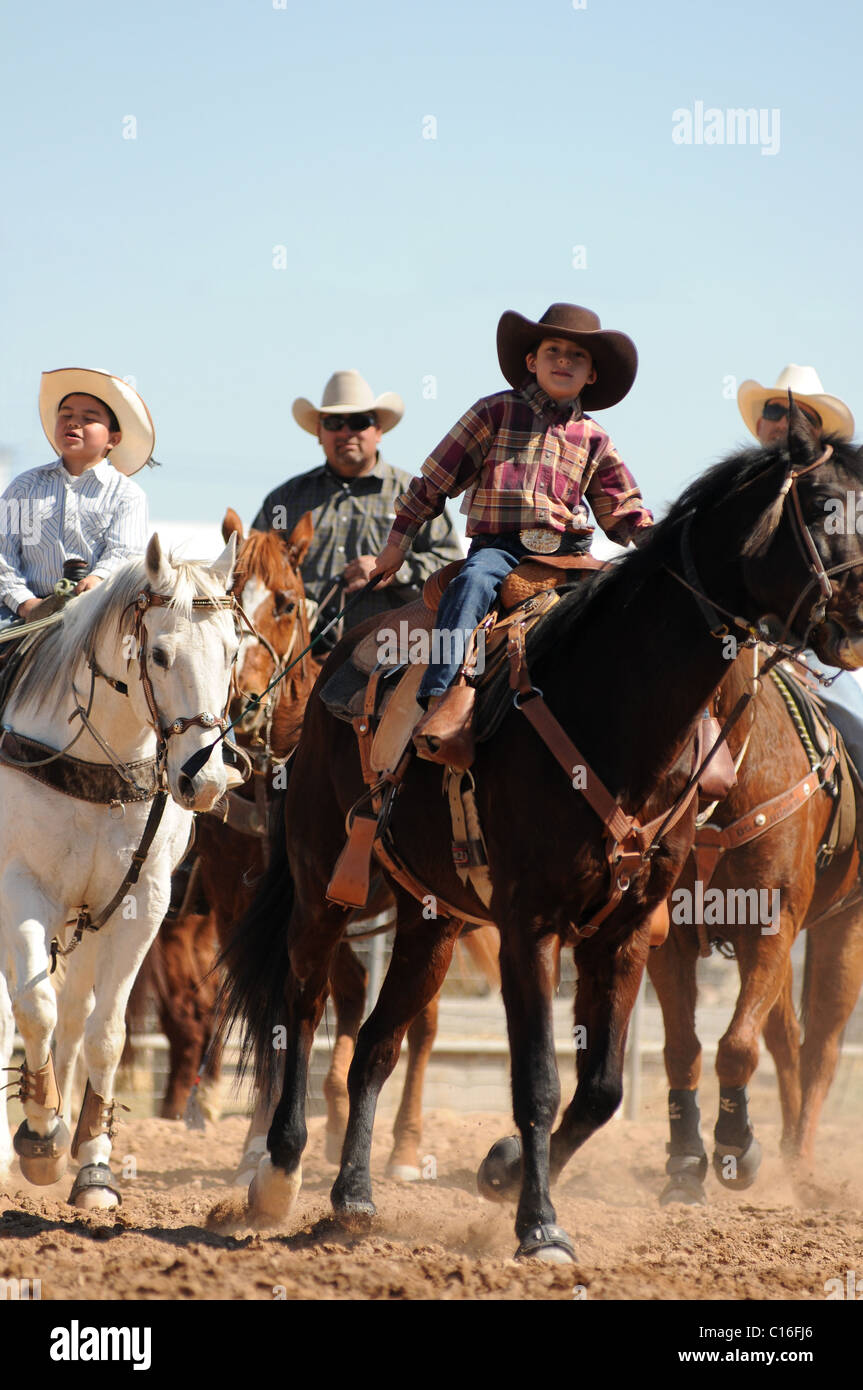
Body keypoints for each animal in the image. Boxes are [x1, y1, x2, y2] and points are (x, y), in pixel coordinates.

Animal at [0, 530, 237, 1206]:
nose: (204, 780)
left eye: (233, 652)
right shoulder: (21, 891)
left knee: (76, 1013)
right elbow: (34, 1009)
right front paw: (39, 1139)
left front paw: (92, 1165)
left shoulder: (141, 905)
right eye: (158, 653)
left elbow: (104, 1030)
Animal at [644, 642, 861, 1206]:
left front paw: (735, 1147)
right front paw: (684, 1165)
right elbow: (683, 1048)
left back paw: (802, 1165)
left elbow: (739, 1046)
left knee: (821, 1045)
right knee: (787, 1036)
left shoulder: (771, 923)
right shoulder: (667, 938)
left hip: (844, 926)